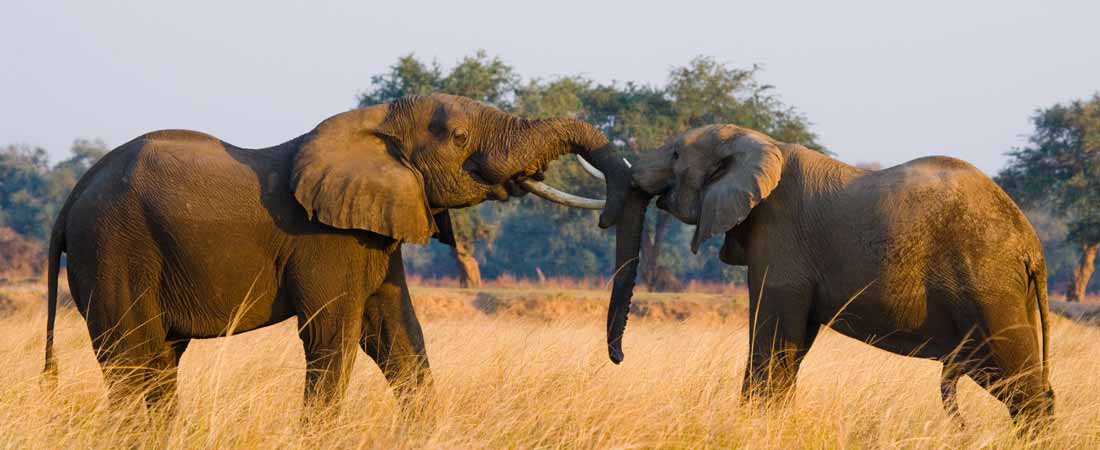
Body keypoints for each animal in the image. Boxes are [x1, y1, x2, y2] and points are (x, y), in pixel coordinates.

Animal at [42, 92, 633, 411]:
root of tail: (71, 199)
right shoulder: (327, 242)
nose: (617, 357)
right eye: (460, 137)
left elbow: (399, 336)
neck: (375, 120)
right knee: (131, 361)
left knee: (160, 363)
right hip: (113, 248)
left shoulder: (377, 229)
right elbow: (333, 338)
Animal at [602, 124, 1056, 429]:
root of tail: (1031, 243)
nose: (619, 358)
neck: (758, 141)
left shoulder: (780, 238)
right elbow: (794, 343)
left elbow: (774, 339)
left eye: (676, 155)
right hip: (1005, 296)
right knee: (1022, 384)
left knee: (1022, 387)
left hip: (989, 288)